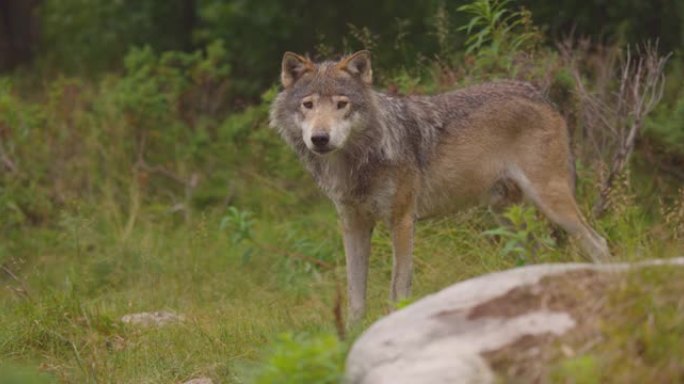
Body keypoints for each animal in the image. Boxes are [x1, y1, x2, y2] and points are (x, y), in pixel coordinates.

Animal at [268, 50, 608, 320]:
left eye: (341, 104)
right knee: (537, 251)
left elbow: (397, 289)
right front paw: (350, 337)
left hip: (551, 202)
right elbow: (355, 297)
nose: (320, 138)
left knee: (598, 242)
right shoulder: (353, 226)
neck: (356, 162)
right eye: (308, 105)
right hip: (505, 214)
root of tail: (538, 93)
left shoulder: (402, 220)